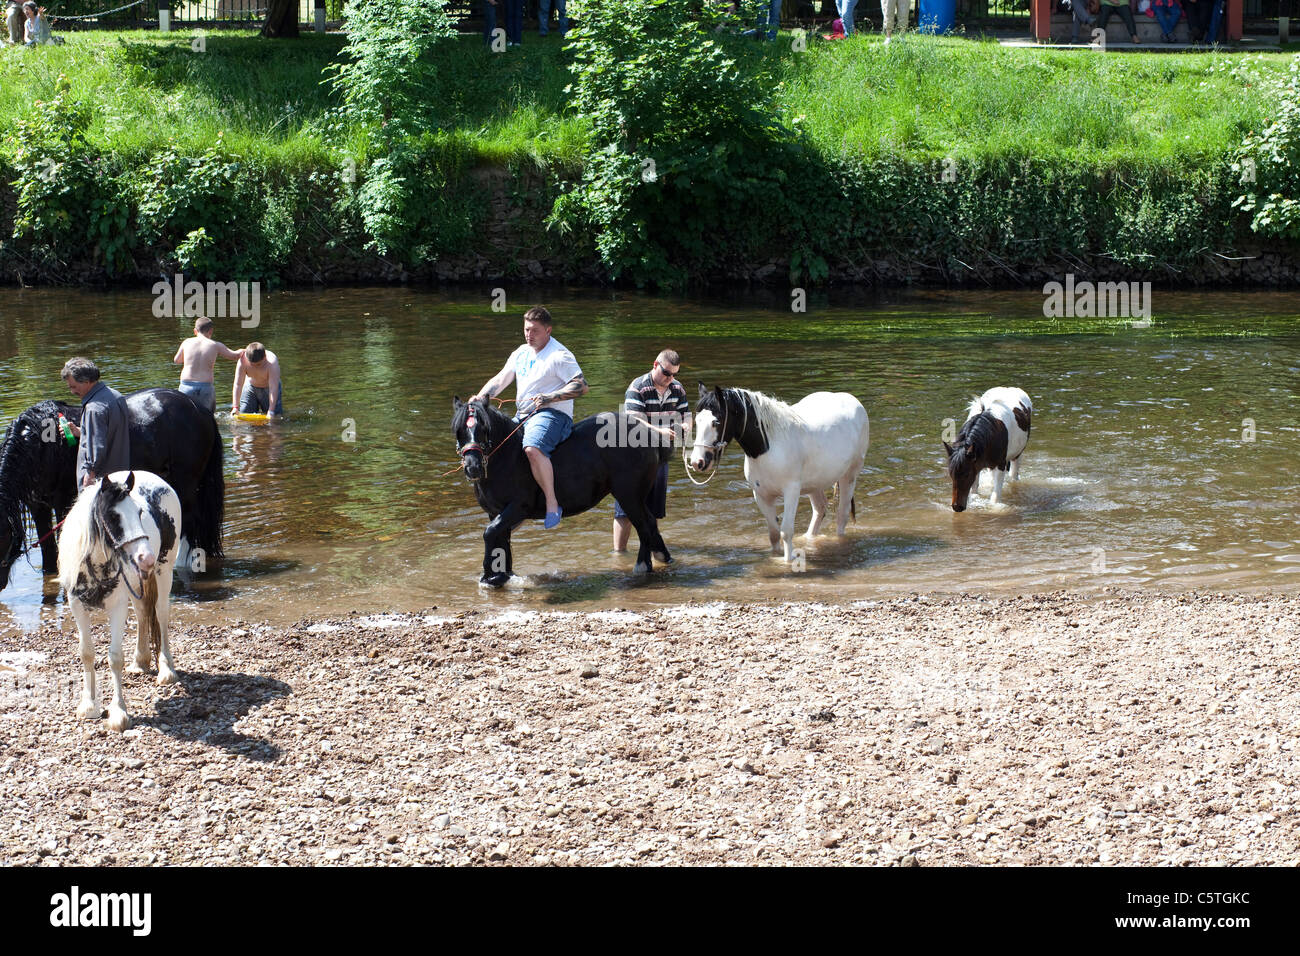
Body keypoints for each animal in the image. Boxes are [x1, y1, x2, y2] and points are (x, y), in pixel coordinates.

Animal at [0, 390, 224, 590]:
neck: (41, 447)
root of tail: (201, 411)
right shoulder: (38, 507)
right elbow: (48, 552)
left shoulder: (62, 502)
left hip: (187, 484)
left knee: (189, 521)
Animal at [58, 470, 183, 733]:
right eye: (114, 516)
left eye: (140, 512)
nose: (146, 557)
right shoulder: (77, 607)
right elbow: (86, 653)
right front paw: (89, 705)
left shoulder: (117, 607)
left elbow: (114, 657)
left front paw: (118, 713)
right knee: (142, 612)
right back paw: (140, 662)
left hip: (164, 570)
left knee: (160, 614)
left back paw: (166, 669)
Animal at [449, 398, 670, 590]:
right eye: (459, 430)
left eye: (484, 429)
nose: (472, 467)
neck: (506, 458)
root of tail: (647, 432)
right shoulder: (496, 513)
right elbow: (501, 539)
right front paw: (502, 575)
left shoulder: (517, 508)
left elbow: (490, 533)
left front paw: (489, 576)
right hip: (636, 497)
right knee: (650, 522)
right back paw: (662, 556)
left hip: (628, 496)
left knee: (644, 525)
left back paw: (643, 566)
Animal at [686, 385, 868, 564]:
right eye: (697, 421)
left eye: (716, 421)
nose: (697, 462)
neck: (769, 446)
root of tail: (852, 400)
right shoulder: (761, 495)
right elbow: (773, 533)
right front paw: (775, 558)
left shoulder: (791, 492)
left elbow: (786, 531)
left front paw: (787, 562)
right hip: (815, 483)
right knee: (820, 509)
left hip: (849, 476)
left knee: (842, 514)